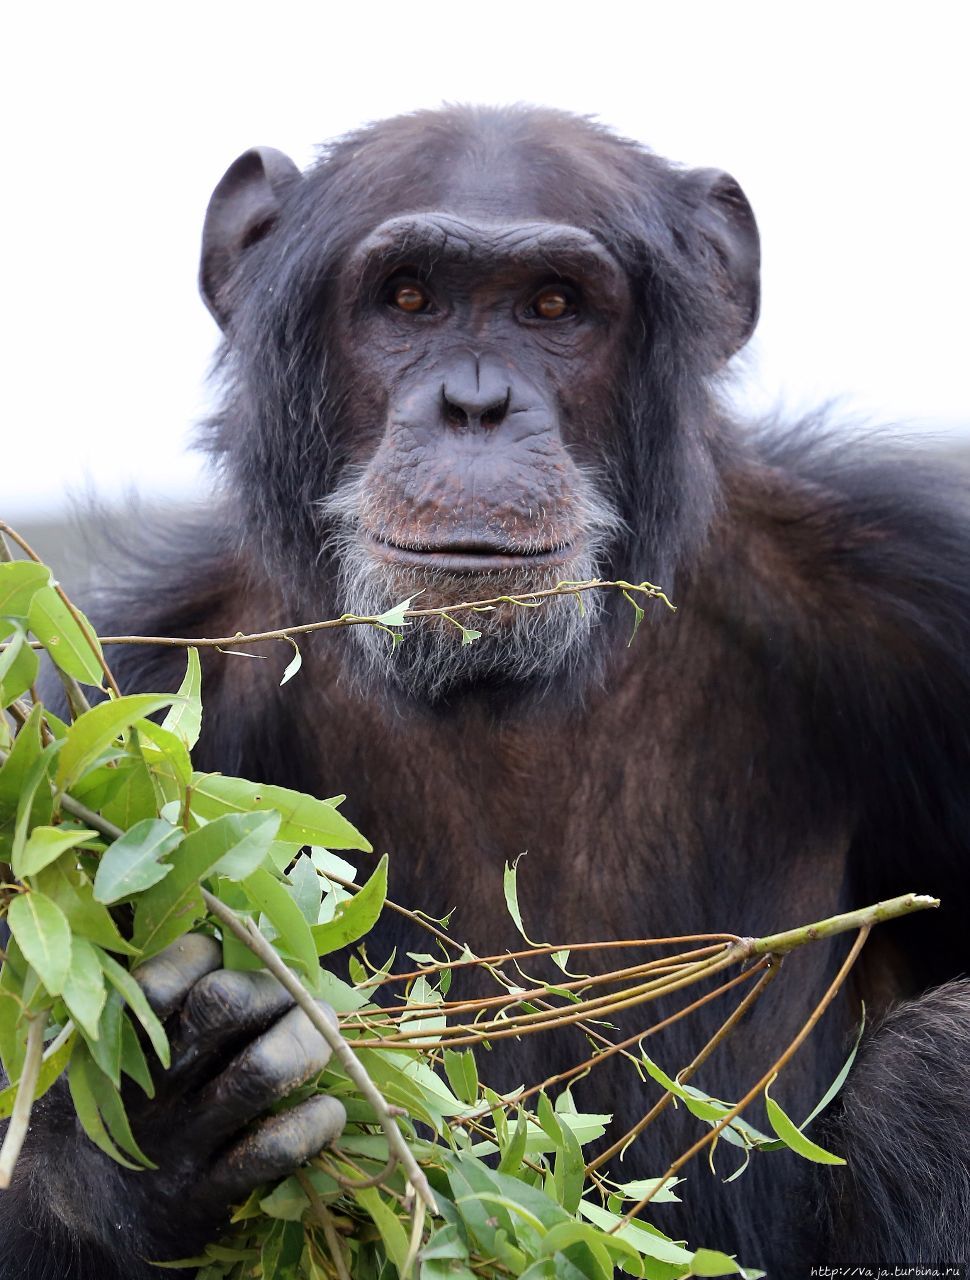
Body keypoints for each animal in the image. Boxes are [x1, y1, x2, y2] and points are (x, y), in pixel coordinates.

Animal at [1, 104, 970, 1274]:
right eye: (407, 295)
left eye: (553, 305)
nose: (476, 403)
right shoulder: (107, 705)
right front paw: (168, 1111)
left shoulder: (918, 596)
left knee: (937, 1069)